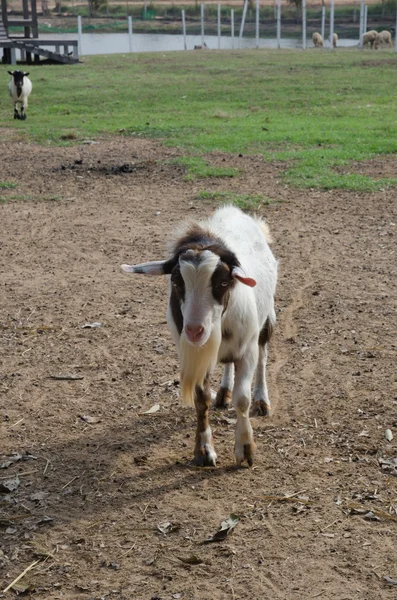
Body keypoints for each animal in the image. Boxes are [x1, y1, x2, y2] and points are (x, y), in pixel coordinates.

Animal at [121, 206, 278, 468]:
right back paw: (223, 392)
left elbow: (242, 399)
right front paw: (204, 451)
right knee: (227, 364)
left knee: (263, 355)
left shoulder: (247, 350)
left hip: (266, 319)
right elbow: (201, 399)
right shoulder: (195, 355)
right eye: (176, 282)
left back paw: (262, 400)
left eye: (223, 282)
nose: (194, 330)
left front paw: (245, 449)